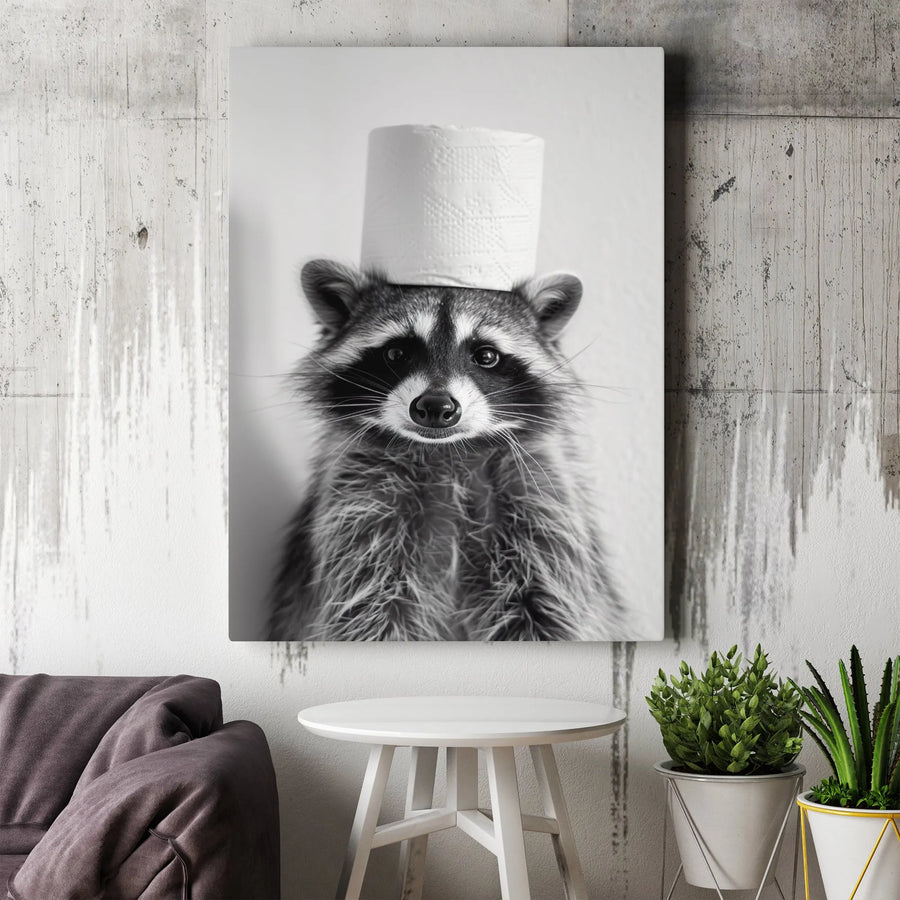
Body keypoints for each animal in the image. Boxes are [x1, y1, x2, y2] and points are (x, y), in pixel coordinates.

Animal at [267, 259, 623, 641]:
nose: (436, 406)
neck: (448, 452)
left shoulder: (541, 502)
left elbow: (547, 608)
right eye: (396, 352)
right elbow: (370, 609)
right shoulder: (360, 505)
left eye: (486, 355)